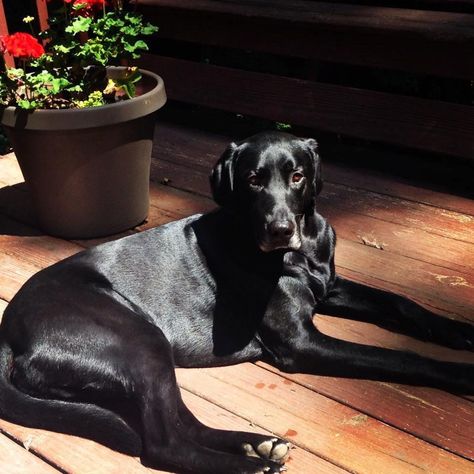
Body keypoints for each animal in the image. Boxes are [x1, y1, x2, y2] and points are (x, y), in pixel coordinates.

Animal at [0, 131, 474, 472]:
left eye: (297, 176)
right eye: (253, 179)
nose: (280, 230)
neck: (301, 252)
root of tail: (9, 331)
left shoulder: (330, 285)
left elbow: (401, 303)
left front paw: (460, 330)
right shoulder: (300, 342)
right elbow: (395, 357)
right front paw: (457, 371)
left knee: (182, 421)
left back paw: (255, 445)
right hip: (138, 339)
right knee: (164, 443)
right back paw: (247, 466)